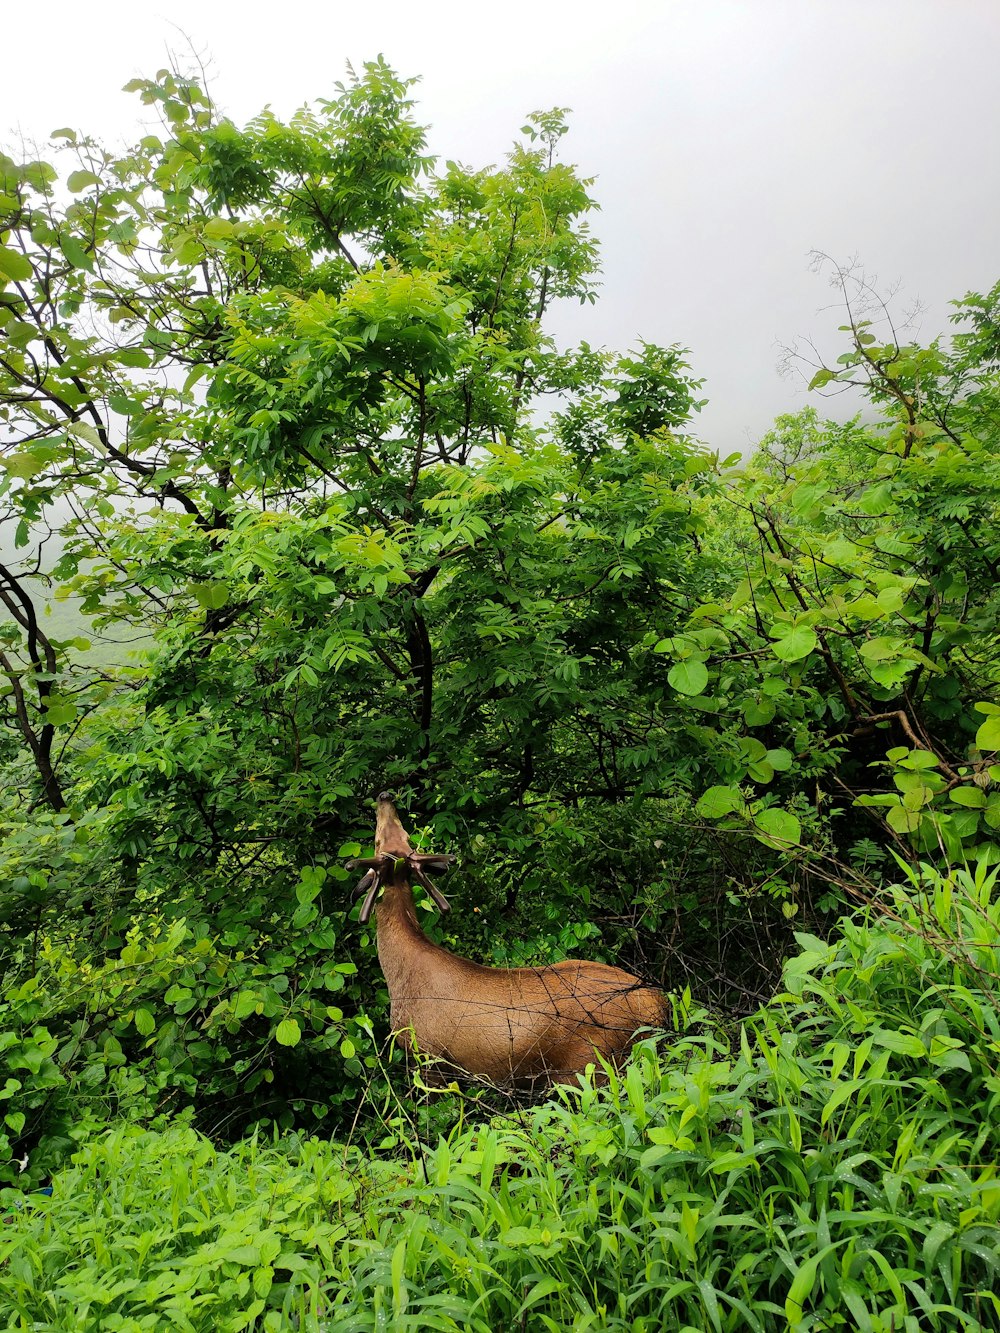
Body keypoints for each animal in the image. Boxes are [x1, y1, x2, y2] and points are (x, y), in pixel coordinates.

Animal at [349, 789, 669, 1093]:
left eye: (377, 840)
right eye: (402, 835)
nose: (385, 796)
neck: (399, 973)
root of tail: (659, 1006)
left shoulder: (429, 1057)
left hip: (590, 1067)